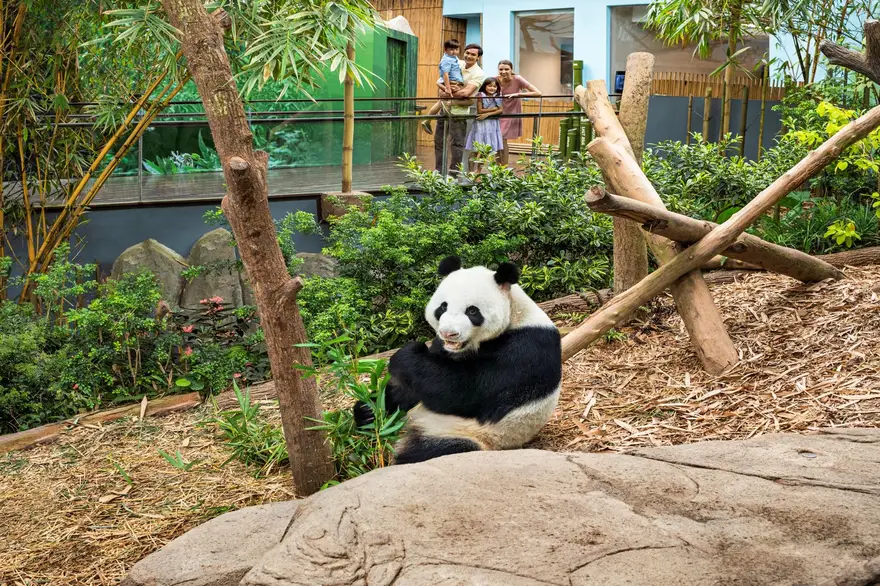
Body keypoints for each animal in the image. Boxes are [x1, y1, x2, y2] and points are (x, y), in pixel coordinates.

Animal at [354, 253, 560, 464]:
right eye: (443, 307)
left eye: (472, 311)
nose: (448, 333)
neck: (515, 312)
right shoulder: (443, 348)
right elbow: (417, 385)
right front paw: (372, 409)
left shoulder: (527, 348)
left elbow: (466, 391)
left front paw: (406, 356)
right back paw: (368, 414)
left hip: (467, 434)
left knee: (431, 452)